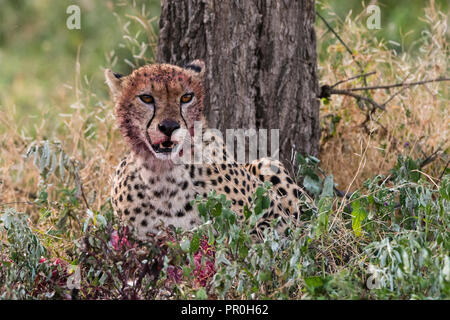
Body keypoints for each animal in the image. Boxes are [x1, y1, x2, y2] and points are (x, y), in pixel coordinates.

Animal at [105, 60, 306, 240]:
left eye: (186, 97)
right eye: (146, 98)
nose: (169, 126)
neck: (163, 175)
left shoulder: (278, 218)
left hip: (266, 164)